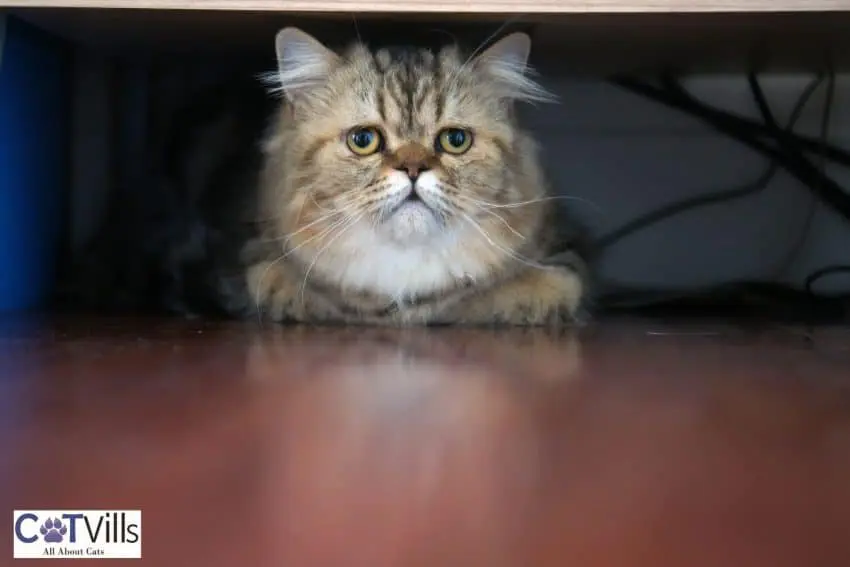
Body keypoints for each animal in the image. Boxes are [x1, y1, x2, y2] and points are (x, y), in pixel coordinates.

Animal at [61, 26, 588, 328]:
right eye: (364, 140)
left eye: (454, 141)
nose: (413, 169)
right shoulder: (252, 263)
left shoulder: (566, 264)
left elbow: (533, 294)